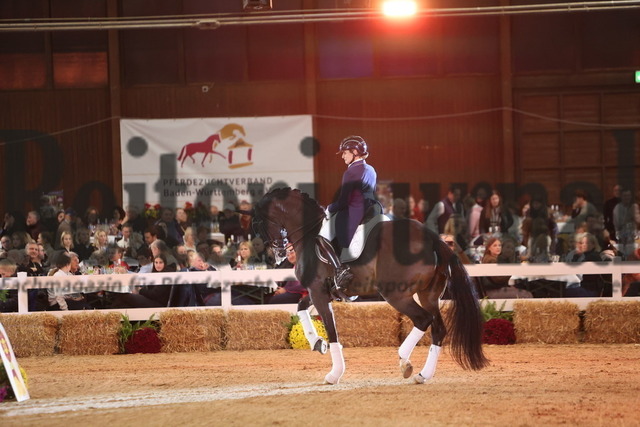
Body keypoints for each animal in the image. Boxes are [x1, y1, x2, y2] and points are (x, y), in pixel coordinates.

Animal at [253, 187, 488, 385]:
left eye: (260, 225)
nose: (278, 255)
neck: (309, 234)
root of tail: (431, 239)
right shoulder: (319, 291)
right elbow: (301, 307)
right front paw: (317, 343)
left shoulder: (318, 292)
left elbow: (331, 329)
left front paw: (334, 373)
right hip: (428, 295)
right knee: (438, 328)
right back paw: (423, 374)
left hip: (396, 294)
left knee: (423, 320)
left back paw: (404, 359)